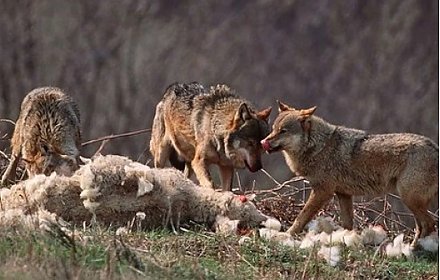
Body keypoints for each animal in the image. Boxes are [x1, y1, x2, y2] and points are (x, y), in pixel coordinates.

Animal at [262, 101, 436, 245]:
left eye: (283, 131)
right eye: (273, 130)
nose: (263, 142)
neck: (318, 147)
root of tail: (435, 147)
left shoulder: (322, 192)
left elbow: (301, 217)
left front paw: (286, 235)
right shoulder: (343, 194)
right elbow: (347, 224)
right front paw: (347, 240)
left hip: (408, 198)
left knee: (429, 224)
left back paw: (414, 250)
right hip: (411, 201)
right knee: (423, 226)